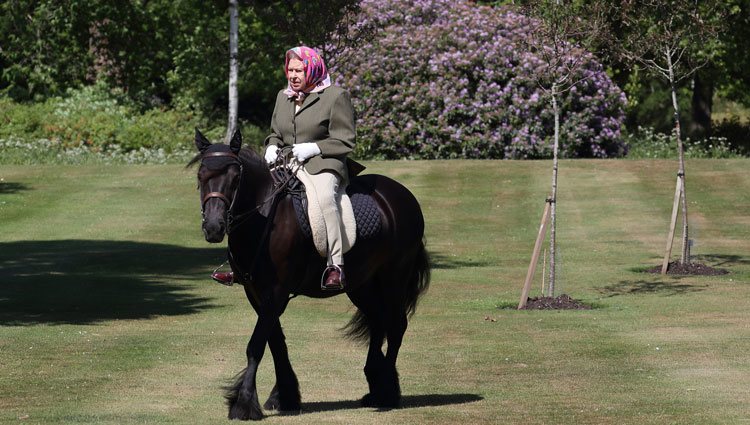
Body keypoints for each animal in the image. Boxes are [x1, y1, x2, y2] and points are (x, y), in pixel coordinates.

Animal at [191, 127, 432, 420]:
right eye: (201, 176)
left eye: (236, 178)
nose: (214, 228)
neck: (264, 216)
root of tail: (401, 195)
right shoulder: (256, 292)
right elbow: (276, 342)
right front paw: (284, 396)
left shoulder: (276, 291)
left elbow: (256, 344)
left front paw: (244, 403)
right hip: (361, 284)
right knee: (378, 321)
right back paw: (376, 384)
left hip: (393, 277)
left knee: (396, 325)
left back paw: (387, 391)